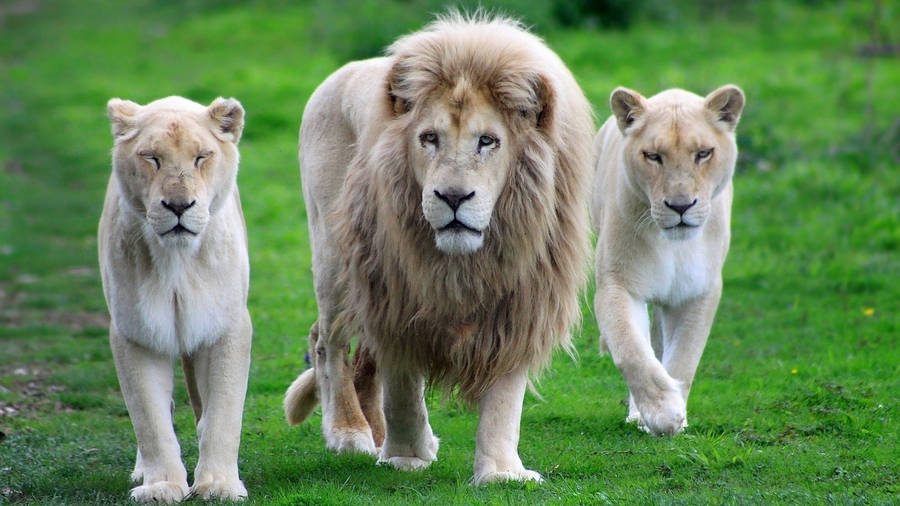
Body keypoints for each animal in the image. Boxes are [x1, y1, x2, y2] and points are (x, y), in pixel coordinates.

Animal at [99, 96, 250, 502]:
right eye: (151, 158)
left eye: (201, 157)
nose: (179, 206)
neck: (177, 261)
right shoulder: (136, 332)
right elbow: (149, 418)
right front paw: (162, 486)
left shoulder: (226, 327)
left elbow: (223, 413)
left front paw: (219, 485)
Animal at [284, 14, 596, 482]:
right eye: (429, 138)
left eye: (487, 141)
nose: (452, 197)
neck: (464, 264)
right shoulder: (395, 297)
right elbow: (402, 390)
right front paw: (407, 457)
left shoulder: (521, 303)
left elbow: (504, 399)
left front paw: (501, 473)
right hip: (336, 259)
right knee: (327, 342)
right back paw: (350, 432)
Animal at [592, 86, 744, 434]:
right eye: (653, 156)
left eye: (703, 153)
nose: (680, 206)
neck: (672, 245)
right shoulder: (617, 284)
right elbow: (632, 350)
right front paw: (662, 412)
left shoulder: (698, 291)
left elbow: (684, 357)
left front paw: (677, 415)